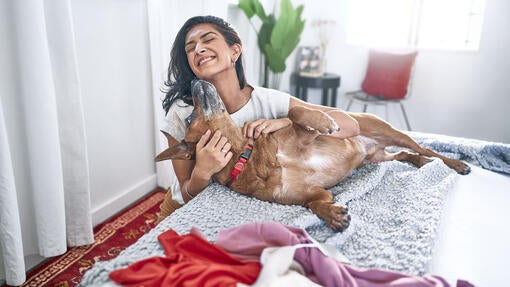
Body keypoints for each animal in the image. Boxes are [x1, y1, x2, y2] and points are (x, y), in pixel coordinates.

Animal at [155, 80, 470, 233]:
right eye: (190, 117)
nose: (195, 80)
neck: (249, 159)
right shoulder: (313, 193)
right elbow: (314, 205)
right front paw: (333, 216)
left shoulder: (303, 135)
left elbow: (295, 112)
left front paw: (323, 121)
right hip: (376, 160)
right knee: (404, 155)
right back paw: (420, 163)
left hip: (390, 132)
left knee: (425, 148)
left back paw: (455, 163)